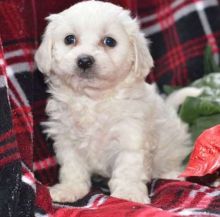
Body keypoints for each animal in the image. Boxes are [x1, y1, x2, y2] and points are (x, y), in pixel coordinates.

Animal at [35, 0, 192, 203]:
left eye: (109, 41)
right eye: (69, 39)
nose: (84, 60)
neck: (92, 100)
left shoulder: (131, 136)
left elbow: (128, 168)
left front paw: (128, 193)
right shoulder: (66, 138)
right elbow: (72, 167)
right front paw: (70, 189)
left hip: (172, 148)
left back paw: (172, 174)